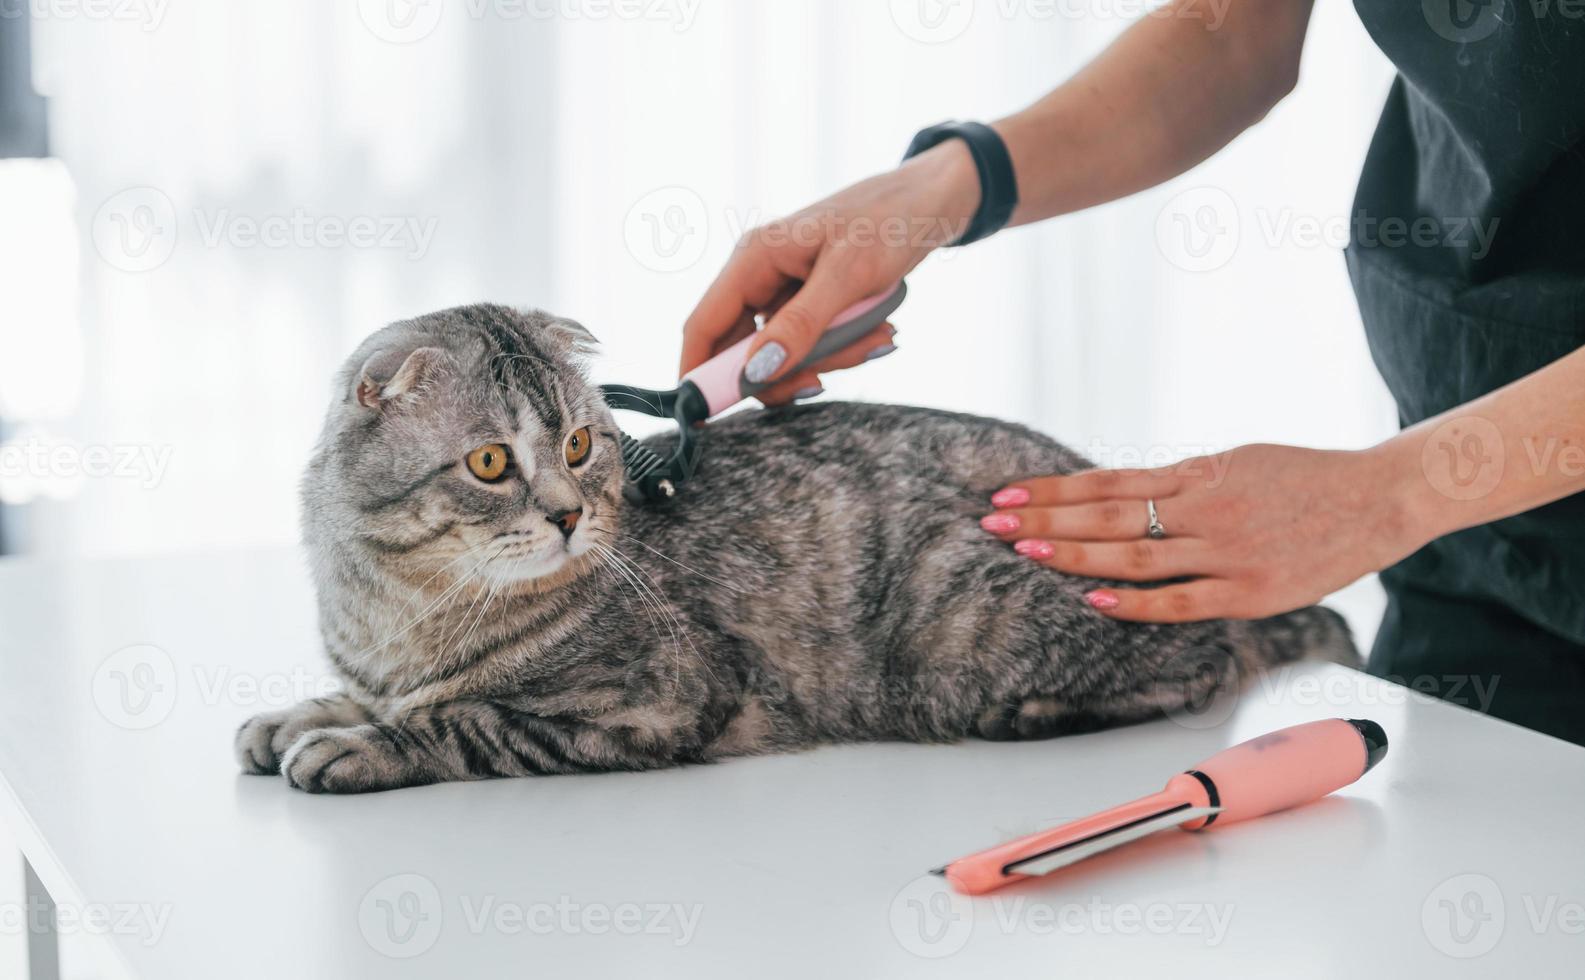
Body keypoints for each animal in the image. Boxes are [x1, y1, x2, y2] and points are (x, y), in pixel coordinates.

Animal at [231, 301, 1350, 789]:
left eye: (581, 446)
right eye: (492, 461)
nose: (566, 514)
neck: (405, 606)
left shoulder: (659, 700)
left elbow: (463, 719)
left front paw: (356, 743)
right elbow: (369, 694)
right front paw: (296, 714)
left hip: (958, 623)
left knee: (1201, 665)